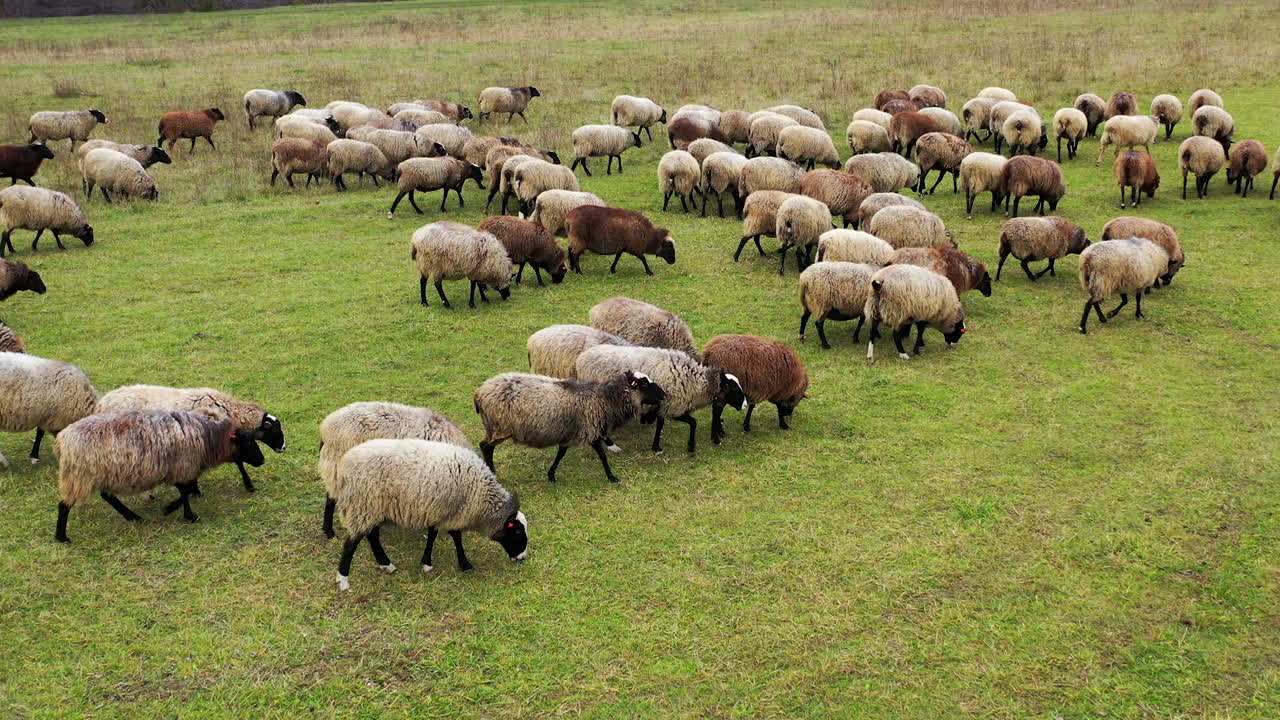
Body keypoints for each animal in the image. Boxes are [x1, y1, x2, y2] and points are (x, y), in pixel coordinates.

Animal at [54, 409, 265, 543]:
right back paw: (62, 537)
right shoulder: (182, 466)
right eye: (248, 442)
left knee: (108, 497)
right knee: (64, 505)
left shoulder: (180, 468)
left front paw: (173, 509)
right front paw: (186, 514)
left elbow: (186, 489)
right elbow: (185, 491)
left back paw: (133, 517)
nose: (262, 460)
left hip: (104, 474)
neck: (209, 439)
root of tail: (62, 440)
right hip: (79, 476)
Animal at [333, 439, 526, 588]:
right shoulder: (452, 512)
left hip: (374, 508)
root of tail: (344, 466)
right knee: (351, 543)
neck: (481, 495)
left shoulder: (438, 511)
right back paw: (343, 580)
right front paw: (465, 565)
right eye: (517, 531)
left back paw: (386, 564)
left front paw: (426, 563)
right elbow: (456, 537)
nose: (522, 558)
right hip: (363, 506)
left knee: (372, 536)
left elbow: (432, 534)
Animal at [474, 370, 666, 483]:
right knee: (485, 446)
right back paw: (492, 473)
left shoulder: (568, 434)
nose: (664, 394)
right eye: (643, 384)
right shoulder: (591, 430)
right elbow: (603, 456)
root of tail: (480, 393)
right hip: (499, 427)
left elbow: (561, 453)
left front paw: (551, 475)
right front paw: (612, 477)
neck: (606, 399)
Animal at [576, 345, 744, 453]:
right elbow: (691, 422)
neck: (697, 381)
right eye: (734, 389)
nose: (744, 405)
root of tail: (581, 358)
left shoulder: (665, 406)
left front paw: (656, 444)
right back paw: (612, 445)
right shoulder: (672, 406)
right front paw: (688, 446)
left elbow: (662, 423)